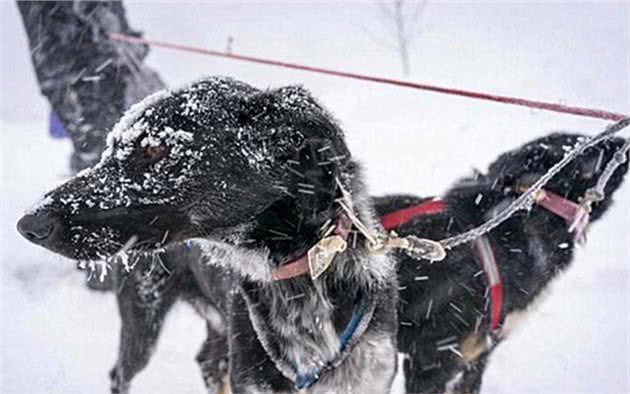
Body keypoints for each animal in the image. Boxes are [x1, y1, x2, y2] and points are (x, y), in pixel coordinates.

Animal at [17, 77, 628, 394]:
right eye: (113, 148)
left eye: (155, 151)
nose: (27, 224)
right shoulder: (432, 359)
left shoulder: (425, 366)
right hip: (143, 322)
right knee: (124, 372)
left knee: (208, 361)